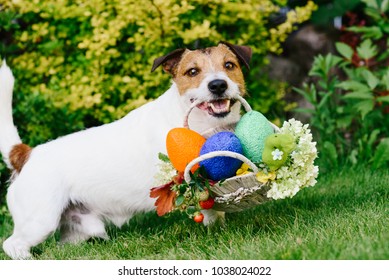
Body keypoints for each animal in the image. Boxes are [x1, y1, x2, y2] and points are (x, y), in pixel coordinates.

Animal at [0, 41, 252, 258]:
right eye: (192, 72)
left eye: (229, 65)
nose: (218, 85)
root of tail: (26, 154)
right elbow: (208, 208)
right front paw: (214, 231)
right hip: (40, 221)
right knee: (11, 244)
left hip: (74, 228)